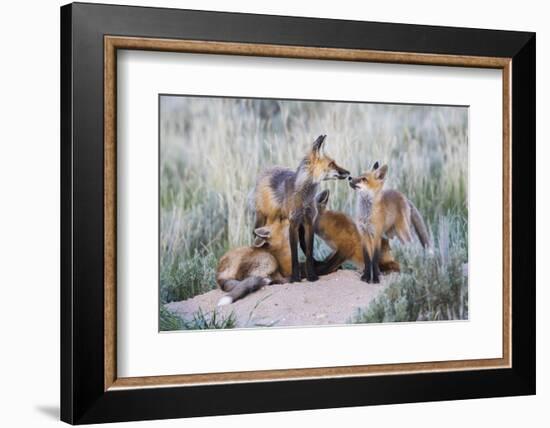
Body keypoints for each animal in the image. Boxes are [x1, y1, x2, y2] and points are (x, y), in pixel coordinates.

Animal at [256, 134, 352, 280]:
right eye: (331, 164)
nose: (348, 172)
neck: (304, 198)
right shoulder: (293, 223)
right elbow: (294, 255)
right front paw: (295, 278)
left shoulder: (309, 222)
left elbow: (309, 251)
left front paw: (312, 275)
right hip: (268, 220)